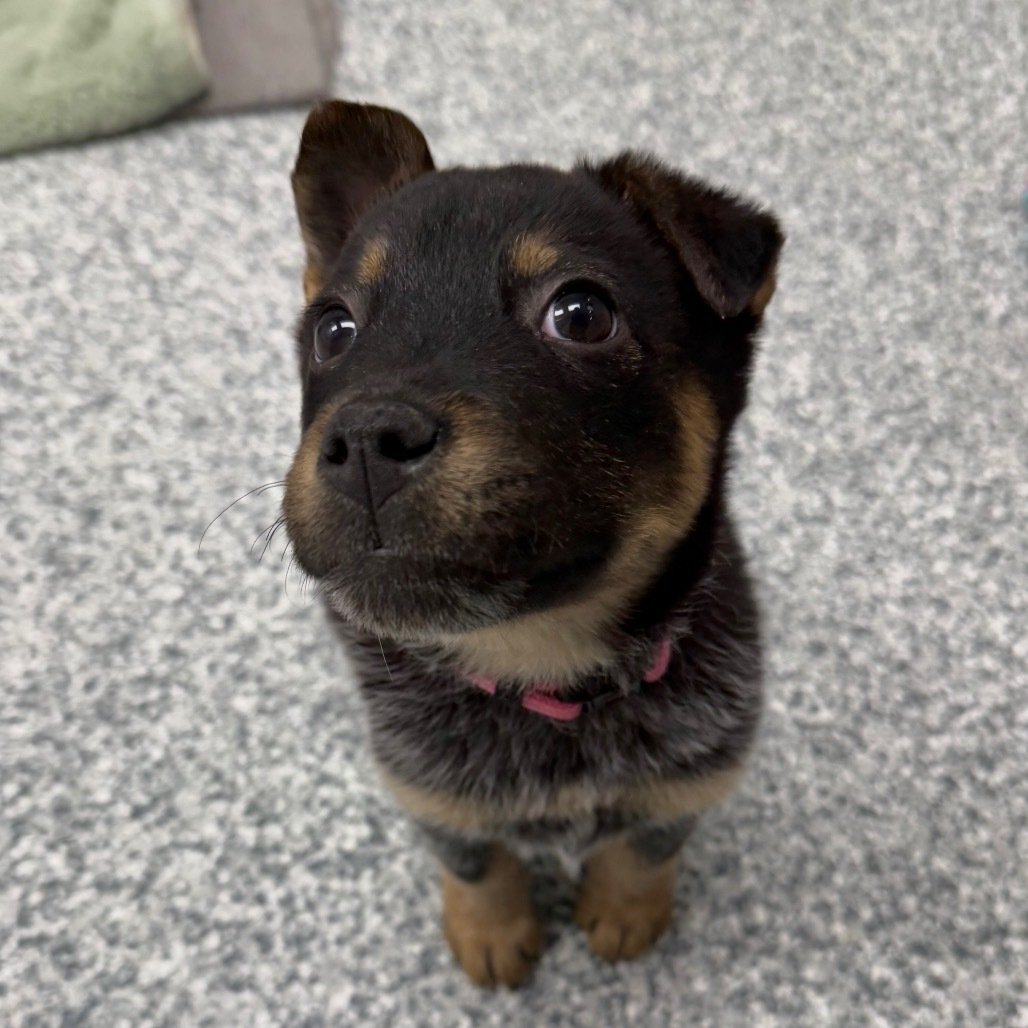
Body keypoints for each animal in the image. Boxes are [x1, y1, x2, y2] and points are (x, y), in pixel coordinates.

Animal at [281, 98, 777, 986]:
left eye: (580, 314)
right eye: (333, 328)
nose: (366, 438)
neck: (543, 676)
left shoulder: (699, 771)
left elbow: (647, 847)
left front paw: (624, 912)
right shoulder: (430, 792)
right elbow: (477, 862)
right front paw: (492, 930)